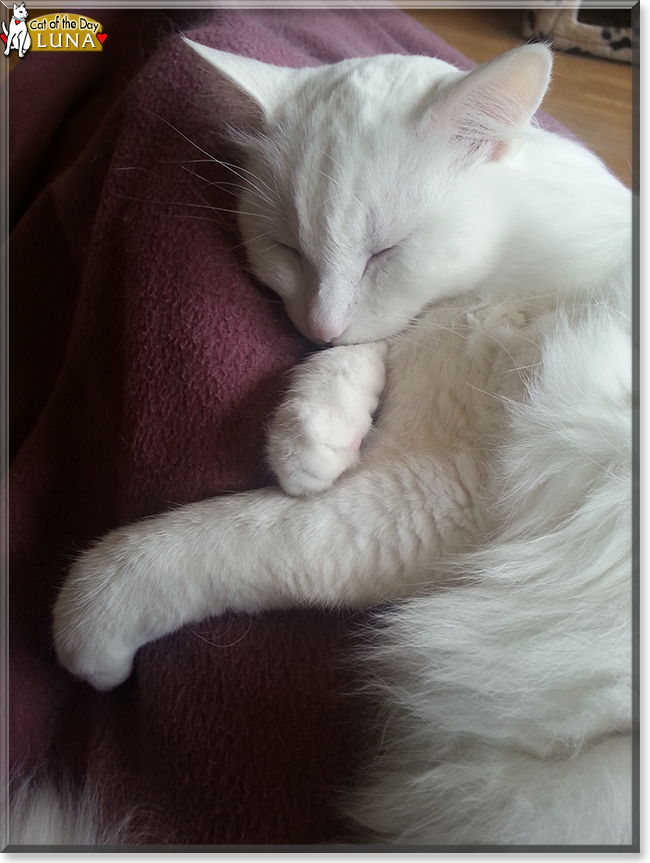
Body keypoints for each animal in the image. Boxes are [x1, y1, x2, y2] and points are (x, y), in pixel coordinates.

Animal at [46, 44, 632, 848]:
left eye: (385, 253)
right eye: (287, 250)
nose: (318, 324)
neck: (527, 244)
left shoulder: (444, 493)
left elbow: (218, 538)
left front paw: (87, 626)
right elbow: (361, 355)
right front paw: (315, 426)